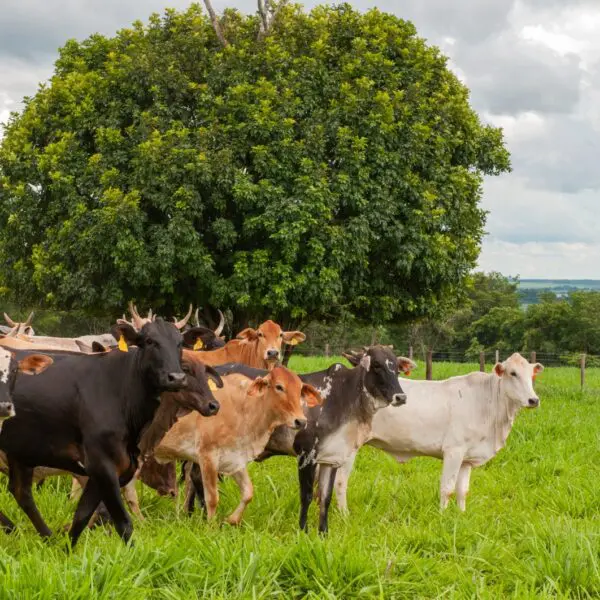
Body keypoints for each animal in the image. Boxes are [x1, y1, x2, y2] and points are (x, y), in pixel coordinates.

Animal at [0, 318, 220, 548]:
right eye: (150, 341)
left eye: (179, 343)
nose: (176, 378)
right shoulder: (102, 463)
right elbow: (122, 522)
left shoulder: (110, 467)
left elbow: (82, 515)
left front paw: (66, 550)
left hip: (21, 450)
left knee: (21, 492)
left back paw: (45, 536)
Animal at [152, 366, 322, 524]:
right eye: (279, 387)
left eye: (300, 390)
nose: (301, 421)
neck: (243, 408)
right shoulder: (208, 456)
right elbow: (212, 498)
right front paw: (211, 527)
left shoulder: (236, 458)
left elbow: (248, 493)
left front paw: (231, 520)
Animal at [332, 354, 544, 512]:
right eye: (513, 373)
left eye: (531, 375)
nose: (533, 400)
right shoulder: (453, 451)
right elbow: (447, 489)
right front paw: (443, 516)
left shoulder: (467, 458)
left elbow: (462, 491)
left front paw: (461, 514)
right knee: (341, 482)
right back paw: (344, 515)